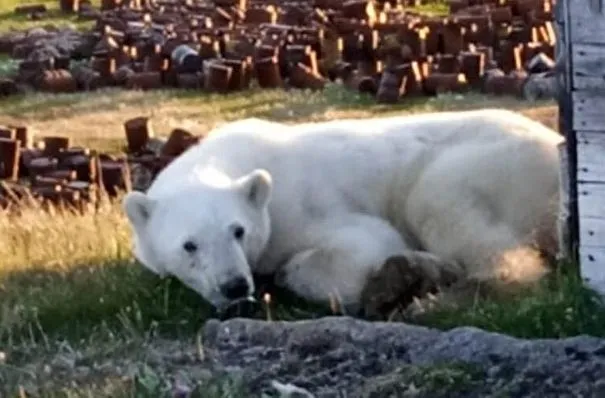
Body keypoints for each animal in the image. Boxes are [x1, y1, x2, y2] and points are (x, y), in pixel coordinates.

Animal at [122, 108, 568, 318]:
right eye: (189, 245)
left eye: (238, 230)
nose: (234, 286)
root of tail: (552, 142)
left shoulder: (302, 206)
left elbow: (363, 244)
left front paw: (287, 274)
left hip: (491, 164)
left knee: (444, 206)